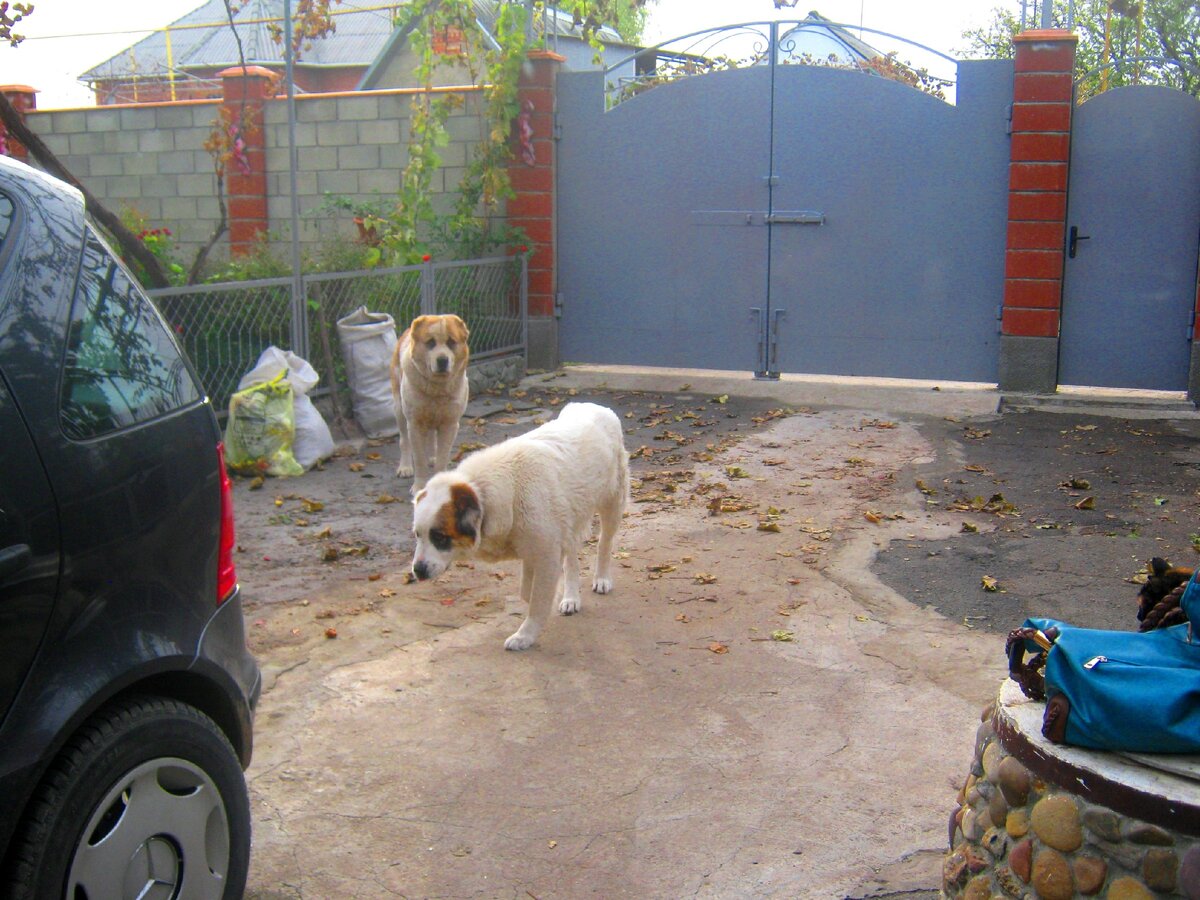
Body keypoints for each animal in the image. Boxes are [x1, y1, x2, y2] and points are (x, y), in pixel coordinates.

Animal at [391, 314, 470, 494]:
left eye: (451, 342)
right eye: (430, 343)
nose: (442, 360)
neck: (436, 389)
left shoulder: (450, 424)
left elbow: (442, 456)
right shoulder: (414, 424)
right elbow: (419, 458)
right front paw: (419, 486)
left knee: (433, 439)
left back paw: (432, 457)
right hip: (399, 410)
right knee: (404, 440)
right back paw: (405, 467)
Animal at [410, 400, 628, 648]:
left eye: (439, 537)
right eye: (417, 535)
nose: (417, 571)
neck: (490, 495)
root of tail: (594, 405)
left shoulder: (545, 554)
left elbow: (536, 600)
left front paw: (525, 635)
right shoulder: (535, 548)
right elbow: (527, 590)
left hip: (612, 504)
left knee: (604, 543)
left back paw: (601, 578)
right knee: (571, 557)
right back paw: (571, 597)